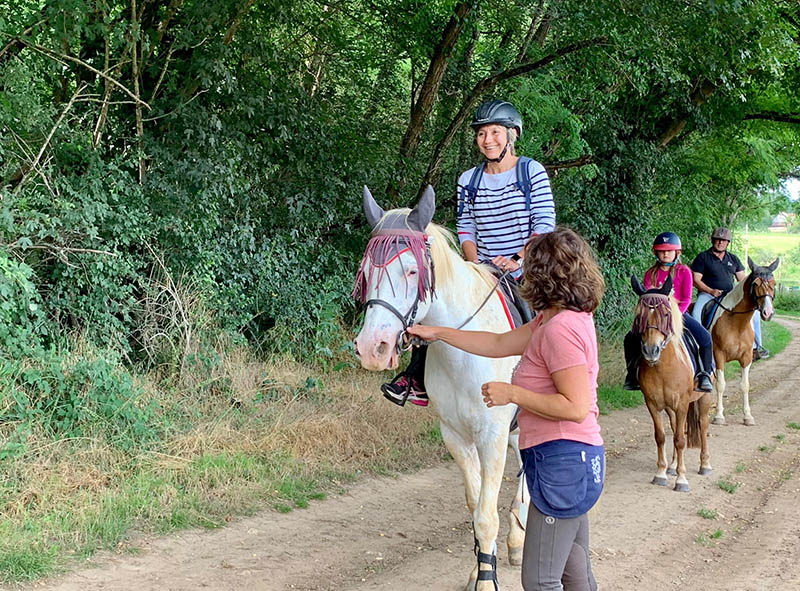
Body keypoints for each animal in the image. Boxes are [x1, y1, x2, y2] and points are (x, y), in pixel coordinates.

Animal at [354, 186, 528, 591]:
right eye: (366, 273)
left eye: (411, 270)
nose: (372, 348)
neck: (464, 351)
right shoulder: (456, 436)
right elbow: (475, 505)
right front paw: (479, 569)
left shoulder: (492, 435)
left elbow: (486, 515)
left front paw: (487, 581)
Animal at [632, 276, 712, 492]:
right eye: (639, 315)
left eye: (666, 314)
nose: (651, 351)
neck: (663, 368)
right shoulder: (652, 404)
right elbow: (661, 436)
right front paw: (661, 473)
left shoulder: (683, 403)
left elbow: (681, 439)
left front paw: (682, 480)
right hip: (670, 407)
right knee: (676, 426)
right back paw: (673, 466)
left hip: (704, 399)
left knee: (702, 426)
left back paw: (705, 465)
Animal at [708, 256, 780, 428]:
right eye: (756, 284)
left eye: (774, 284)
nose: (768, 313)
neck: (736, 324)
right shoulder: (719, 355)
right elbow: (721, 385)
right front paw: (719, 416)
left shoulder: (746, 357)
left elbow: (745, 385)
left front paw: (748, 416)